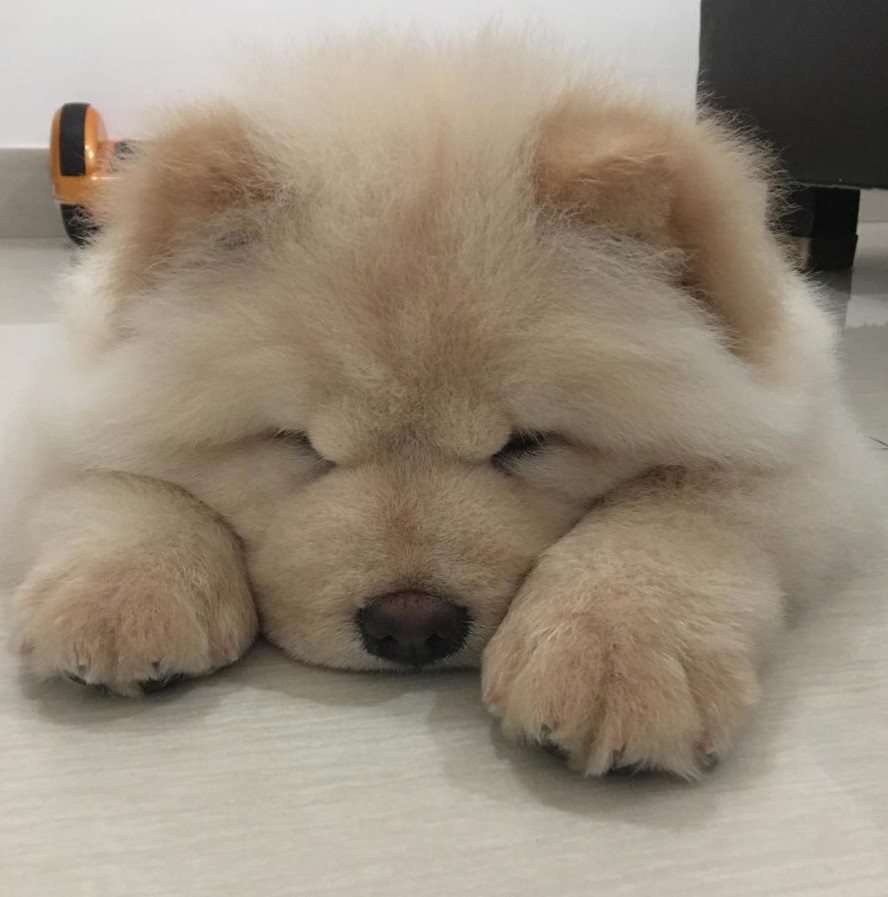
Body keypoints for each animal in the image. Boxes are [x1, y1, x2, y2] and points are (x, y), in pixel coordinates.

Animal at [1, 35, 880, 776]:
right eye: (300, 443)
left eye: (525, 443)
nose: (411, 623)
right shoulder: (55, 403)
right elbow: (117, 477)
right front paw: (122, 595)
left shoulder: (814, 451)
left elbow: (682, 501)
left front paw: (616, 648)